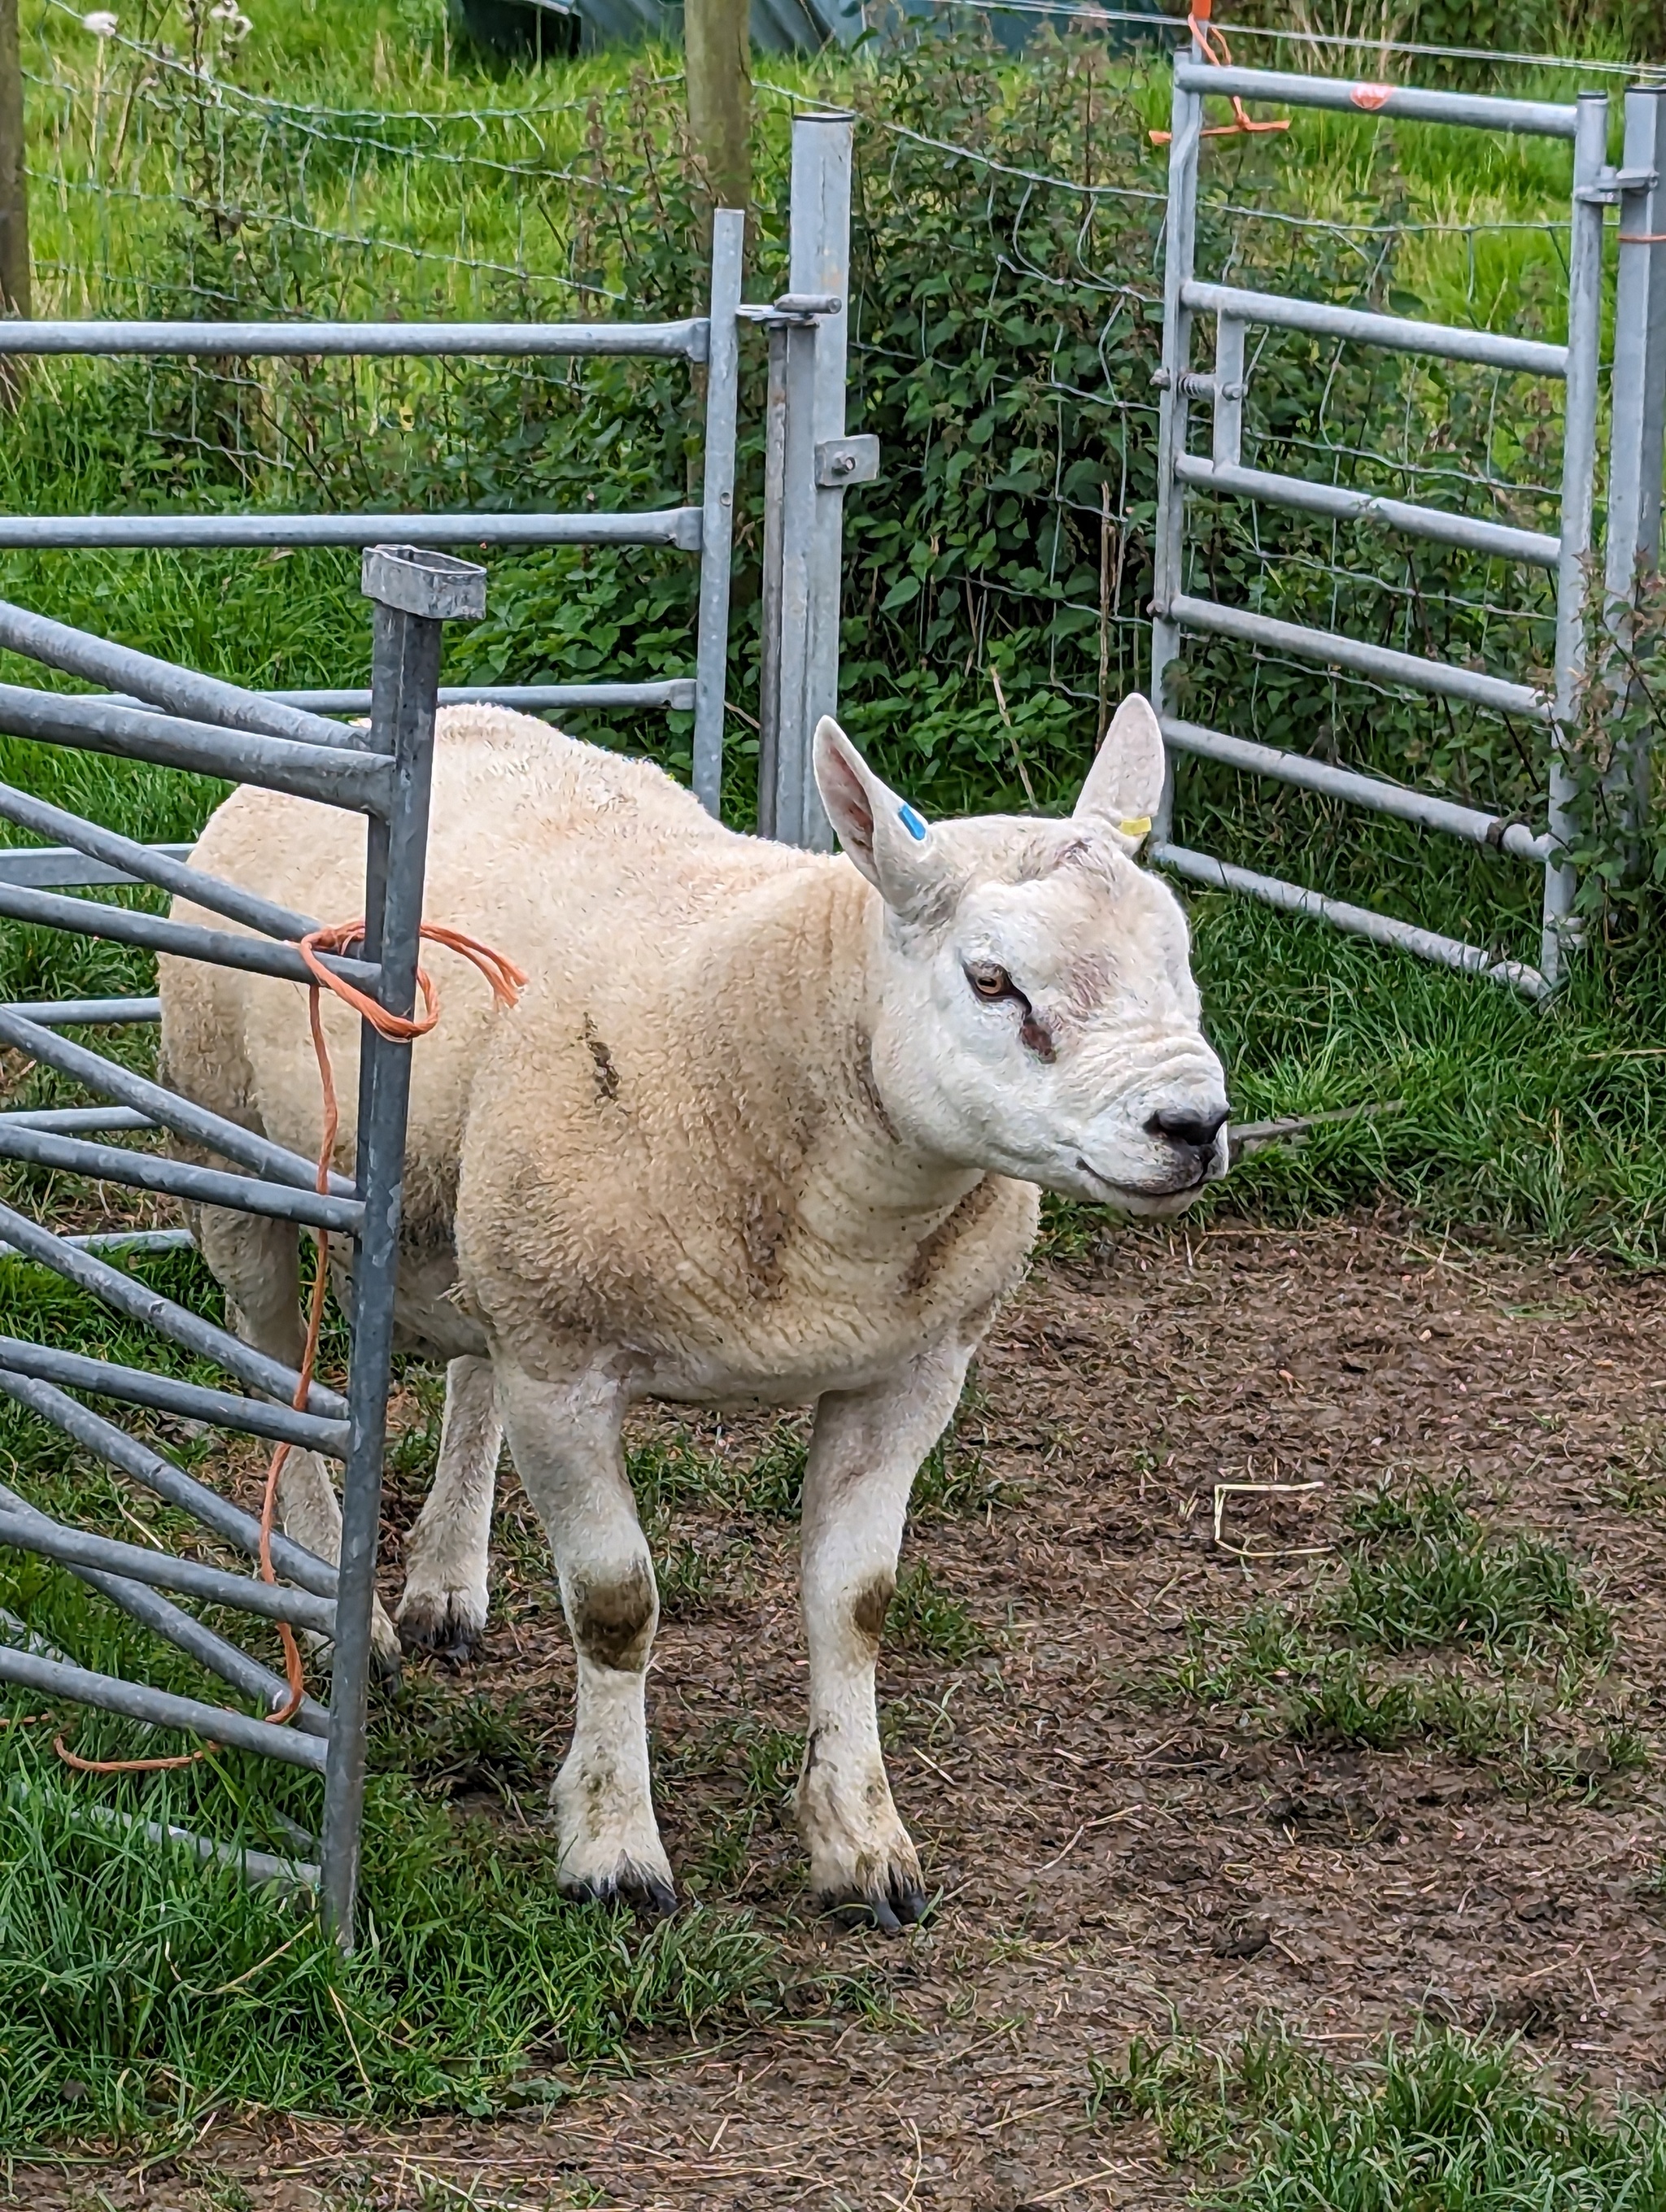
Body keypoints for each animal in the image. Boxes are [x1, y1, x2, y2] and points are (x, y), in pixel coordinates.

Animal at [159, 699, 1221, 1928]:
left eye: (1180, 955)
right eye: (993, 980)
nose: (1193, 1124)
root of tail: (453, 711)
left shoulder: (911, 1371)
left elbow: (857, 1602)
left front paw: (861, 1841)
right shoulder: (564, 1370)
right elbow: (616, 1607)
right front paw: (613, 1849)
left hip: (483, 1221)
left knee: (468, 1371)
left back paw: (445, 1582)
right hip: (236, 1158)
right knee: (275, 1371)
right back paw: (337, 1610)